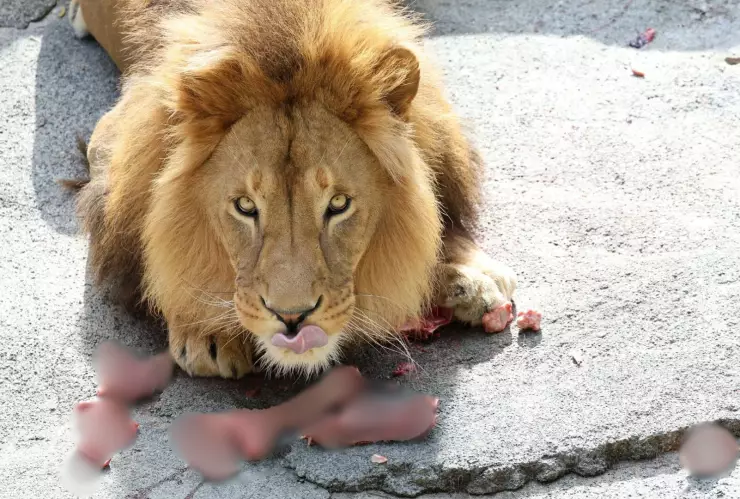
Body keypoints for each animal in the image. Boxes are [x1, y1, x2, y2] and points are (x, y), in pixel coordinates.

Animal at [68, 0, 517, 378]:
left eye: (338, 204)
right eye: (245, 206)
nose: (292, 319)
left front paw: (470, 274)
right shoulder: (108, 139)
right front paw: (205, 331)